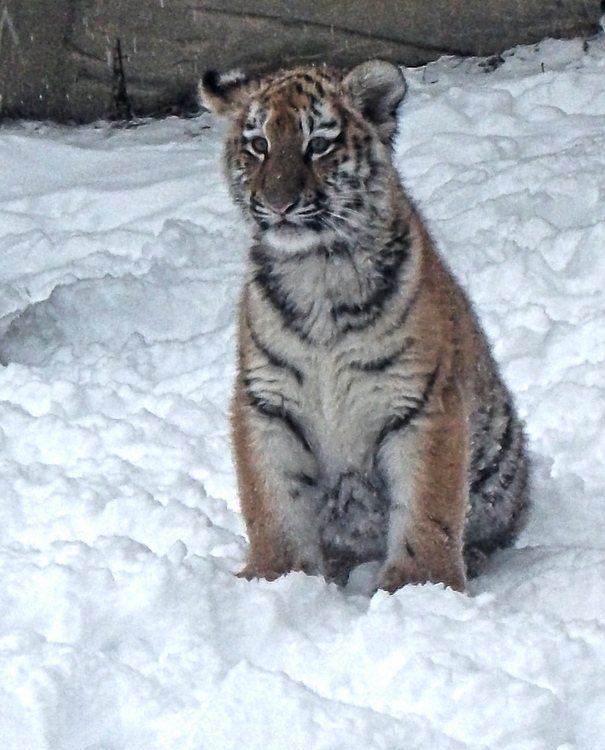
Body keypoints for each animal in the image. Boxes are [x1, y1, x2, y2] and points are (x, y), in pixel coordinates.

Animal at [201, 60, 528, 592]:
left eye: (318, 144)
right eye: (258, 145)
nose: (278, 204)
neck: (315, 269)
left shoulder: (419, 400)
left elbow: (427, 504)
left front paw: (420, 585)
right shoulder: (267, 400)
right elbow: (271, 500)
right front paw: (276, 576)